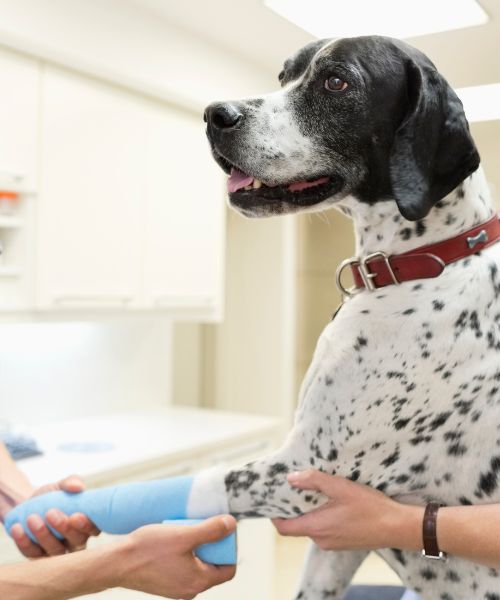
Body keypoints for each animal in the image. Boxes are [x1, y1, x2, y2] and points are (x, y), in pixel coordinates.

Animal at [190, 37, 500, 600]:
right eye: (283, 75)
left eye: (337, 82)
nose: (214, 113)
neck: (422, 262)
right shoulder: (338, 542)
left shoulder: (305, 473)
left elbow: (198, 483)